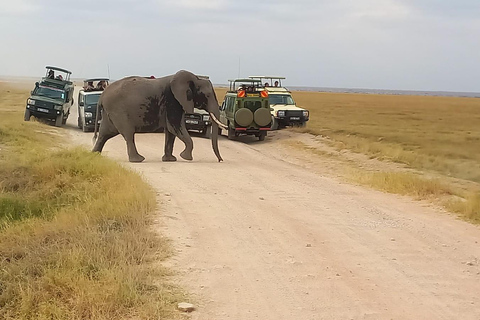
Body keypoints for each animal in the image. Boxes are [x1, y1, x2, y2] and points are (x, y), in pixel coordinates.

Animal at [92, 69, 227, 161]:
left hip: (110, 113)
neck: (195, 78)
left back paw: (94, 156)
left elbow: (171, 132)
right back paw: (138, 159)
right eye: (207, 95)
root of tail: (102, 96)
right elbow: (175, 127)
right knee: (128, 134)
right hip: (119, 111)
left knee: (104, 134)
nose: (220, 160)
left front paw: (170, 160)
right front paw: (186, 157)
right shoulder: (173, 101)